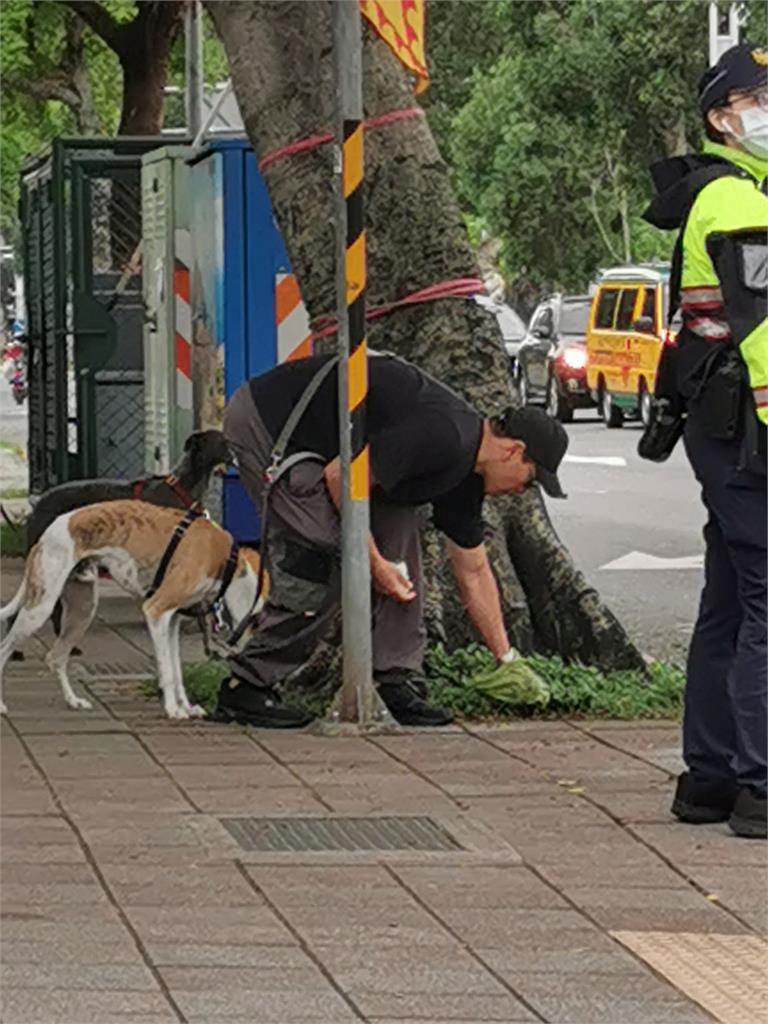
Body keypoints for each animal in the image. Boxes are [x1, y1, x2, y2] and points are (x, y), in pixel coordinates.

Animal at [0, 503, 264, 720]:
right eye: (258, 622)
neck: (223, 557)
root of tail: (45, 535)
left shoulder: (172, 622)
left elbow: (177, 671)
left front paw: (187, 707)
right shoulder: (156, 612)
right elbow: (167, 671)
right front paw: (173, 710)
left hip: (81, 611)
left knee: (55, 657)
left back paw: (73, 700)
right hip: (40, 608)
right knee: (5, 649)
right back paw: (2, 705)